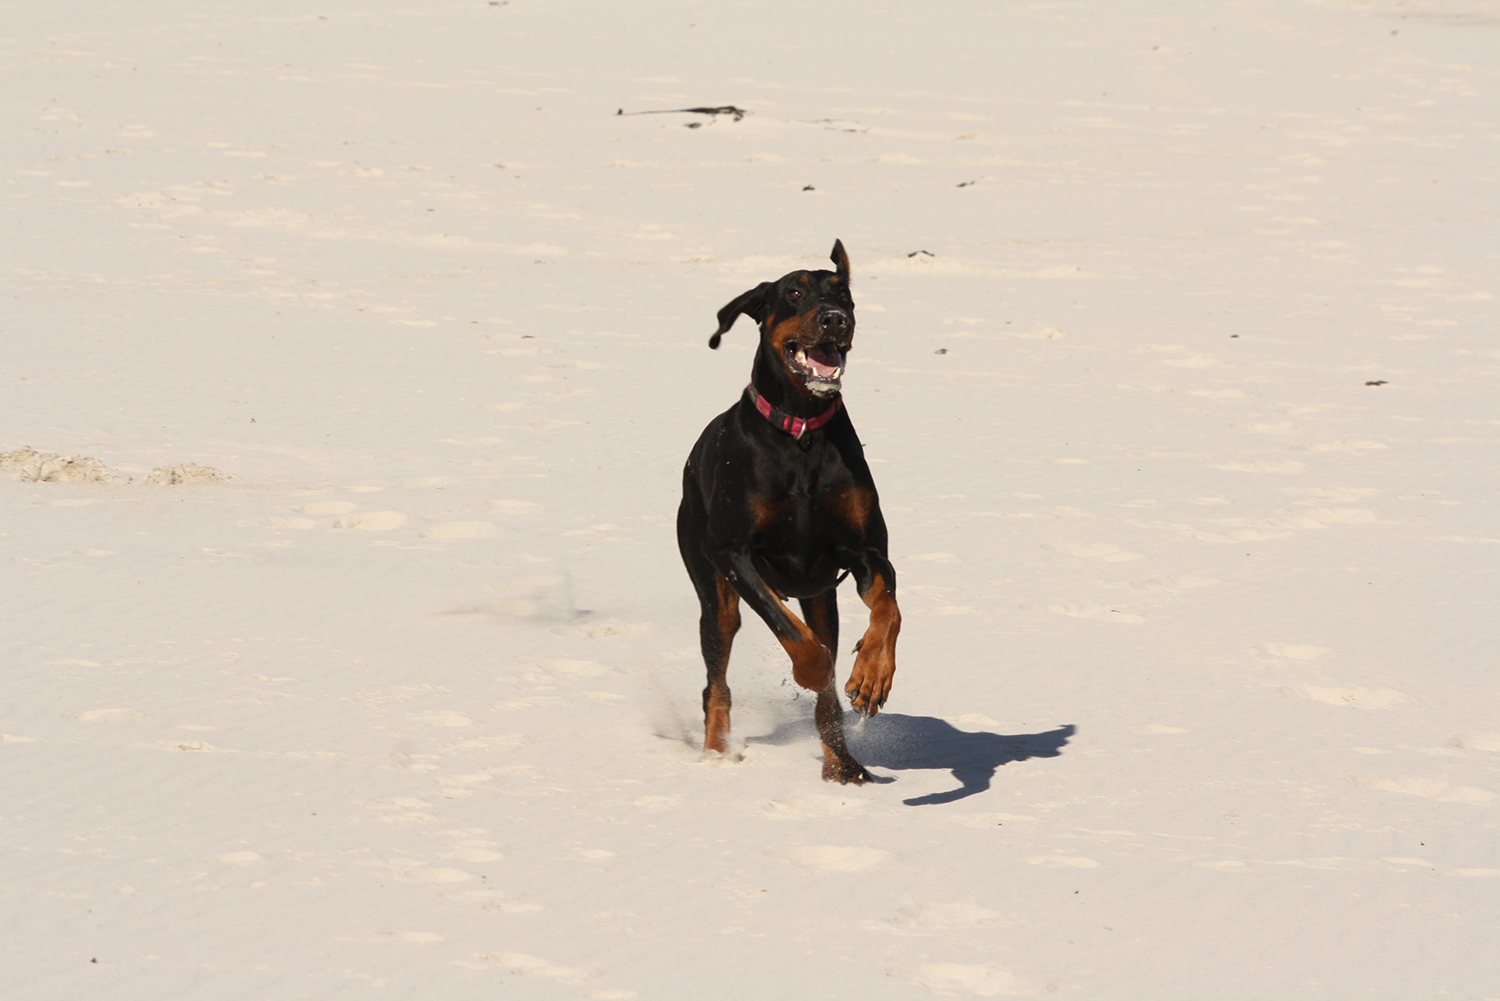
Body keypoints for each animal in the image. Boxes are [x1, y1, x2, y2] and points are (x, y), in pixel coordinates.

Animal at [676, 240, 901, 784]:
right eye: (794, 293)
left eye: (842, 292)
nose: (835, 319)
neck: (801, 430)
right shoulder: (733, 554)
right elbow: (794, 637)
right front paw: (818, 671)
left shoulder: (865, 552)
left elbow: (888, 608)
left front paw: (872, 675)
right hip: (712, 591)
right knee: (717, 681)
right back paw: (716, 755)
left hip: (821, 596)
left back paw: (843, 763)